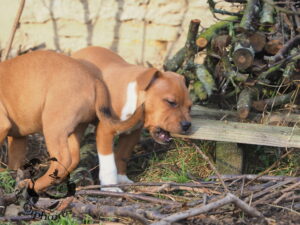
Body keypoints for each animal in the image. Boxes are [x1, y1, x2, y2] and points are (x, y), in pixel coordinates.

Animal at [0, 50, 143, 192]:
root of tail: (94, 80)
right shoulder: (17, 138)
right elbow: (14, 161)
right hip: (74, 129)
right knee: (73, 158)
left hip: (53, 126)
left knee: (63, 159)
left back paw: (34, 184)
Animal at [72, 46, 192, 185]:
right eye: (171, 102)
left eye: (190, 107)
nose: (187, 125)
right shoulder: (105, 132)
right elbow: (109, 164)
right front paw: (111, 186)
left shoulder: (132, 134)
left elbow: (122, 156)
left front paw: (122, 179)